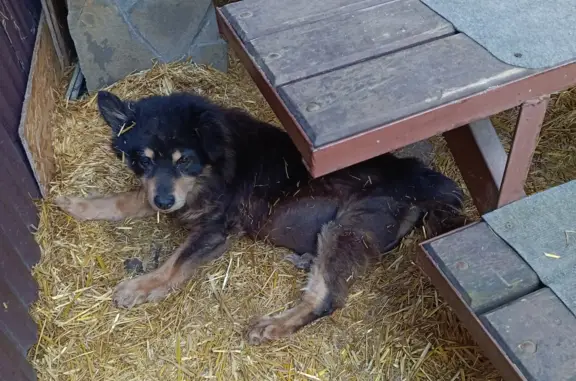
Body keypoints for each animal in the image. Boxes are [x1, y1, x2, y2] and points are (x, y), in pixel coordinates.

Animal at [56, 91, 464, 344]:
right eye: (143, 160)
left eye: (184, 160)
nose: (164, 201)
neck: (213, 165)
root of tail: (424, 180)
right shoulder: (171, 197)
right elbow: (123, 201)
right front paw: (77, 205)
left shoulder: (217, 228)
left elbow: (174, 263)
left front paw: (140, 287)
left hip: (346, 228)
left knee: (326, 299)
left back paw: (272, 326)